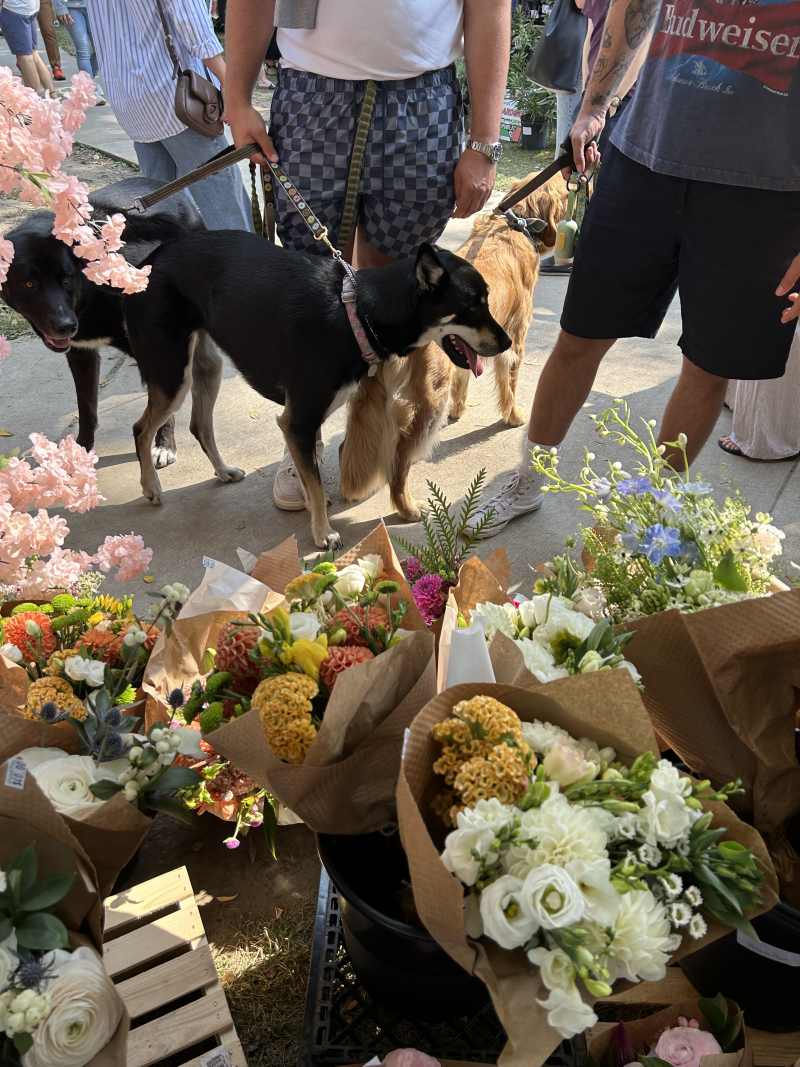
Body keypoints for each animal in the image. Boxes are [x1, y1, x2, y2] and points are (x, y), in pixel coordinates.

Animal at [1, 177, 203, 467]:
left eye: (66, 278)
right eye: (29, 283)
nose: (66, 326)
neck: (89, 293)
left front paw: (164, 444)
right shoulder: (80, 353)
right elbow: (86, 408)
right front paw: (82, 451)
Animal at [118, 234, 510, 548]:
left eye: (487, 300)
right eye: (472, 305)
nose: (507, 342)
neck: (356, 313)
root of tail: (152, 258)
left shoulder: (305, 425)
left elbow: (313, 481)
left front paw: (312, 511)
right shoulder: (298, 422)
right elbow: (317, 485)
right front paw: (323, 533)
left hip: (206, 368)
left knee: (200, 425)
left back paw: (223, 471)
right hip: (171, 376)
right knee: (140, 429)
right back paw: (151, 487)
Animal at [339, 174, 567, 521]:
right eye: (567, 190)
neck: (514, 225)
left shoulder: (463, 346)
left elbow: (465, 376)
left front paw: (459, 409)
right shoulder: (516, 338)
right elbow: (509, 384)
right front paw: (513, 416)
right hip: (429, 401)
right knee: (398, 461)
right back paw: (407, 507)